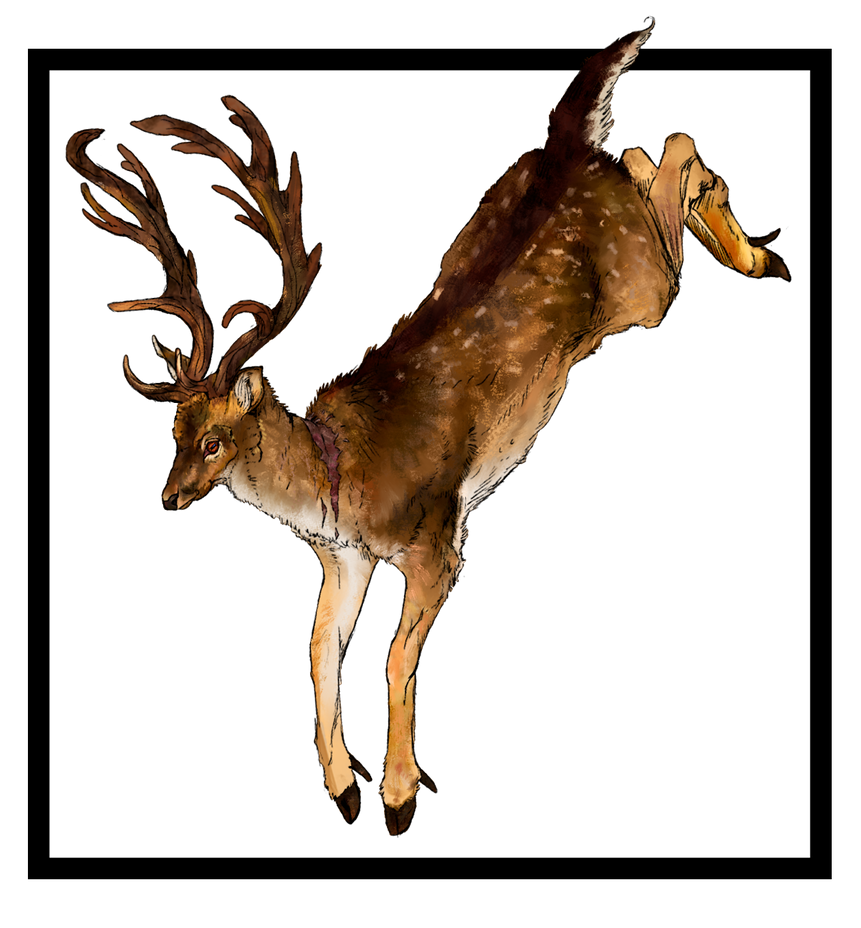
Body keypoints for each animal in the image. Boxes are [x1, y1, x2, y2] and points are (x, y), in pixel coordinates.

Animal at [66, 22, 789, 841]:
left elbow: (395, 656)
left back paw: (763, 258)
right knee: (642, 152)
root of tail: (566, 140)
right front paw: (346, 792)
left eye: (215, 440)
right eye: (174, 432)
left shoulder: (438, 537)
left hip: (645, 287)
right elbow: (322, 649)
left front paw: (402, 799)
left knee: (674, 155)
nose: (164, 501)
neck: (338, 482)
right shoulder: (342, 558)